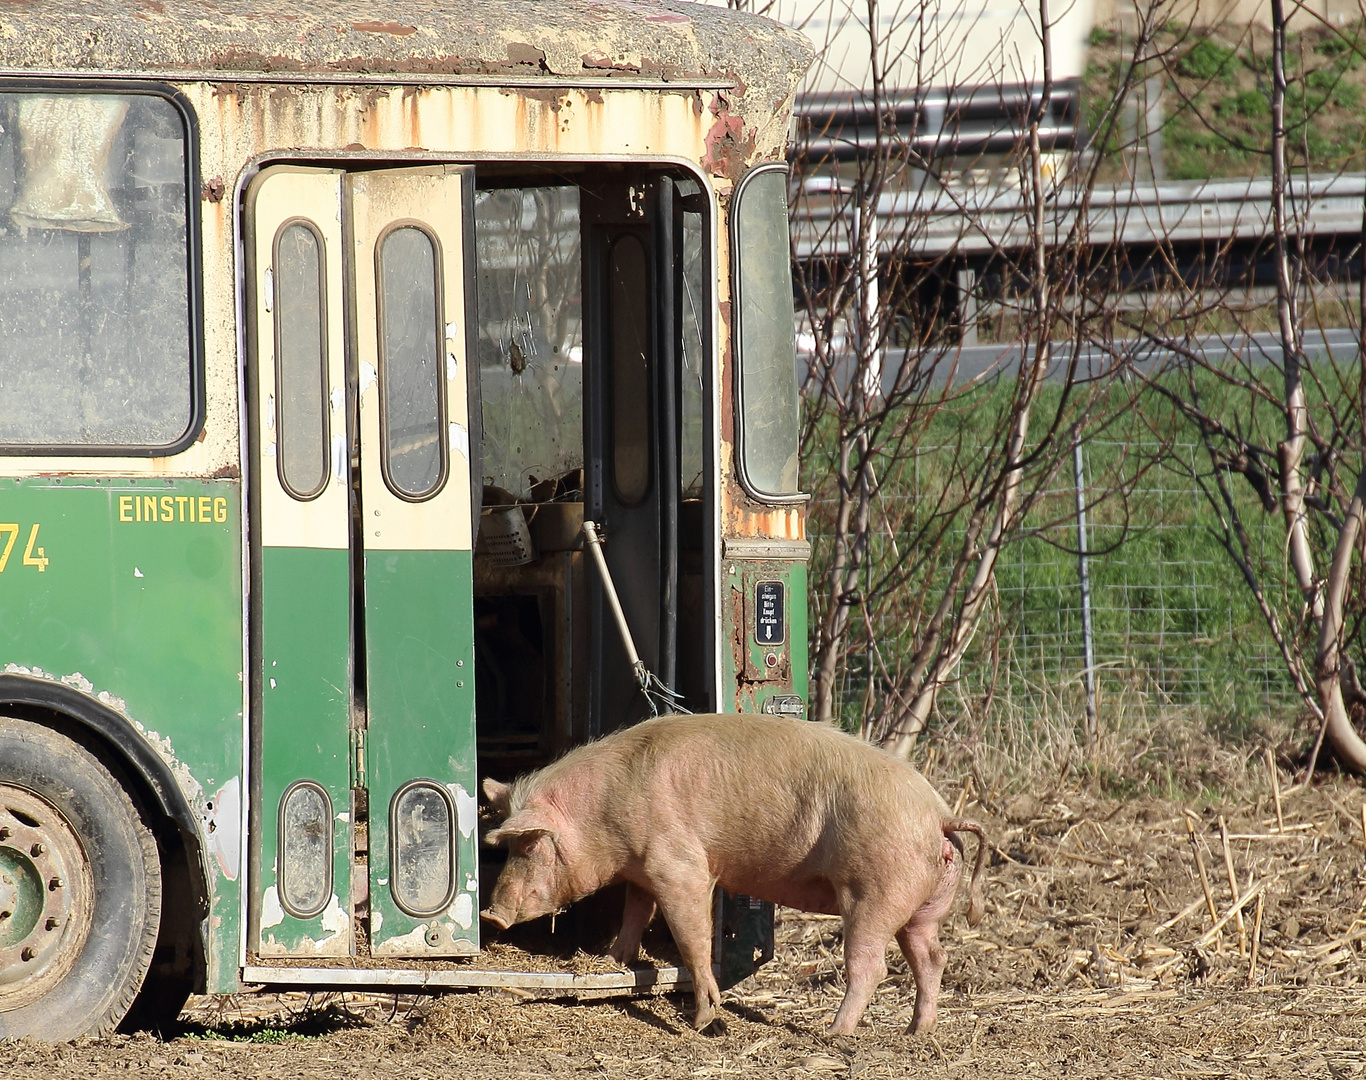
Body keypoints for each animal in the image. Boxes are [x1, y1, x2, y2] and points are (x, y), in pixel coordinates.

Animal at [486, 715, 988, 1032]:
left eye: (529, 844)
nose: (492, 915)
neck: (606, 811)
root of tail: (941, 815)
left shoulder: (679, 865)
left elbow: (691, 935)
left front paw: (704, 1021)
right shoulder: (642, 871)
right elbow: (635, 914)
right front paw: (613, 961)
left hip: (875, 893)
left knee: (871, 966)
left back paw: (834, 1032)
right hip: (924, 905)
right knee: (932, 957)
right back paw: (917, 1031)